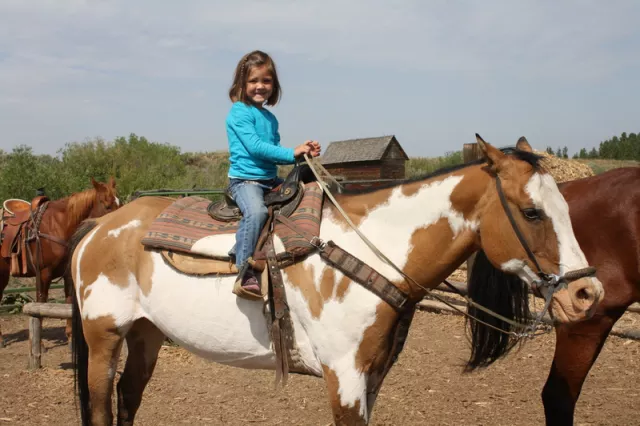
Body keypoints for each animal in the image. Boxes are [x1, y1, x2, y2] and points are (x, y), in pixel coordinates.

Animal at [0, 177, 120, 347]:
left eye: (119, 202)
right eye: (107, 205)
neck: (59, 226)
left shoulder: (67, 273)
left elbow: (68, 301)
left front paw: (70, 337)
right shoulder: (43, 273)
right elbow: (41, 302)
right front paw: (40, 343)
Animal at [69, 136, 604, 426]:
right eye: (531, 212)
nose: (587, 294)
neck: (371, 251)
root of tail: (99, 227)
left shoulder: (372, 376)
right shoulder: (343, 375)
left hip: (146, 334)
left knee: (128, 398)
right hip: (104, 335)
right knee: (100, 406)